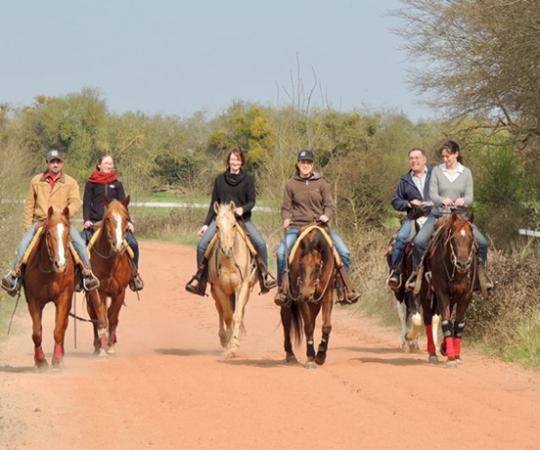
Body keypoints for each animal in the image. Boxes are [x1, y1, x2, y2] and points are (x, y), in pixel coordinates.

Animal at [24, 207, 76, 370]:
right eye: (48, 233)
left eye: (68, 233)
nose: (60, 264)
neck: (49, 272)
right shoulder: (33, 300)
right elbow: (36, 333)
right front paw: (40, 361)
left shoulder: (64, 298)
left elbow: (58, 330)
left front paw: (57, 360)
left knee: (63, 325)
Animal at [87, 197, 133, 356]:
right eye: (107, 218)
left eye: (126, 218)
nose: (117, 244)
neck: (110, 263)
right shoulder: (97, 291)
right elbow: (101, 317)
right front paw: (102, 349)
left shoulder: (119, 292)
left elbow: (113, 318)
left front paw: (110, 346)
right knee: (93, 317)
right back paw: (97, 345)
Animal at [207, 202, 258, 356]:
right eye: (217, 226)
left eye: (234, 225)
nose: (226, 250)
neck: (229, 262)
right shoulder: (219, 289)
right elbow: (227, 316)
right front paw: (229, 343)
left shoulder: (242, 286)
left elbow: (237, 315)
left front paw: (234, 346)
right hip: (215, 292)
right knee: (219, 309)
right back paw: (223, 338)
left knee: (240, 311)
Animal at [280, 225, 336, 370]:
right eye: (300, 264)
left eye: (317, 266)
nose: (306, 293)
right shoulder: (301, 299)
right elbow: (308, 327)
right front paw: (310, 357)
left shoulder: (327, 295)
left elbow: (326, 326)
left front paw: (321, 355)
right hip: (289, 301)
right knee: (286, 321)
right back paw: (290, 354)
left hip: (315, 302)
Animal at [422, 211, 476, 366]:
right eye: (453, 239)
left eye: (471, 238)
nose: (463, 264)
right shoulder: (442, 293)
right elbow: (446, 322)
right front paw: (451, 357)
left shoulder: (466, 295)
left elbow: (458, 324)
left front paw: (455, 354)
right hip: (425, 293)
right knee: (427, 319)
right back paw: (432, 353)